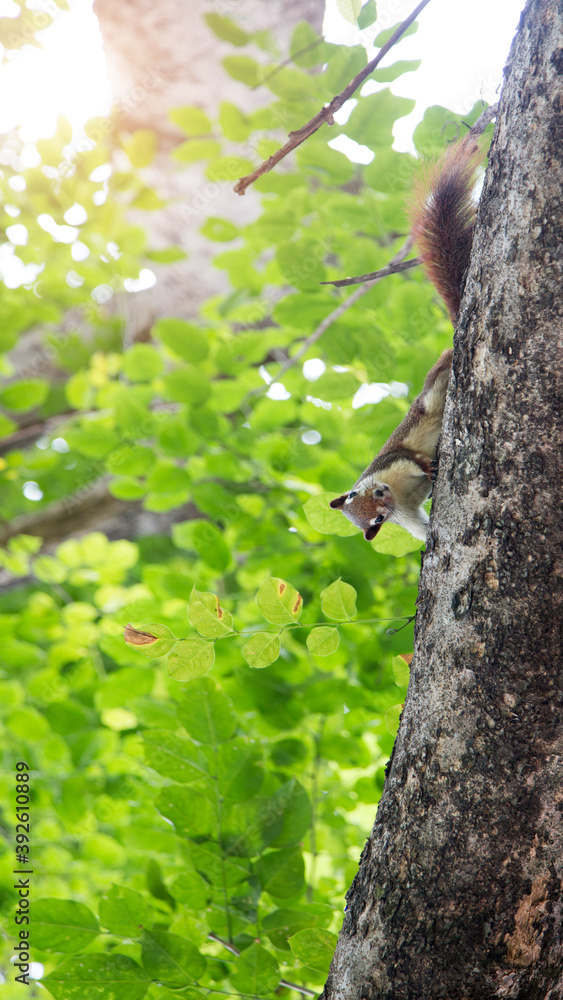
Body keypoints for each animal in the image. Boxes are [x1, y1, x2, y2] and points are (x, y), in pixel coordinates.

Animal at [329, 136, 483, 542]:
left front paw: (428, 468)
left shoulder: (393, 462)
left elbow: (412, 458)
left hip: (431, 394)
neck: (397, 491)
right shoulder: (406, 514)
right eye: (374, 521)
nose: (382, 497)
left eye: (357, 493)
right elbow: (421, 527)